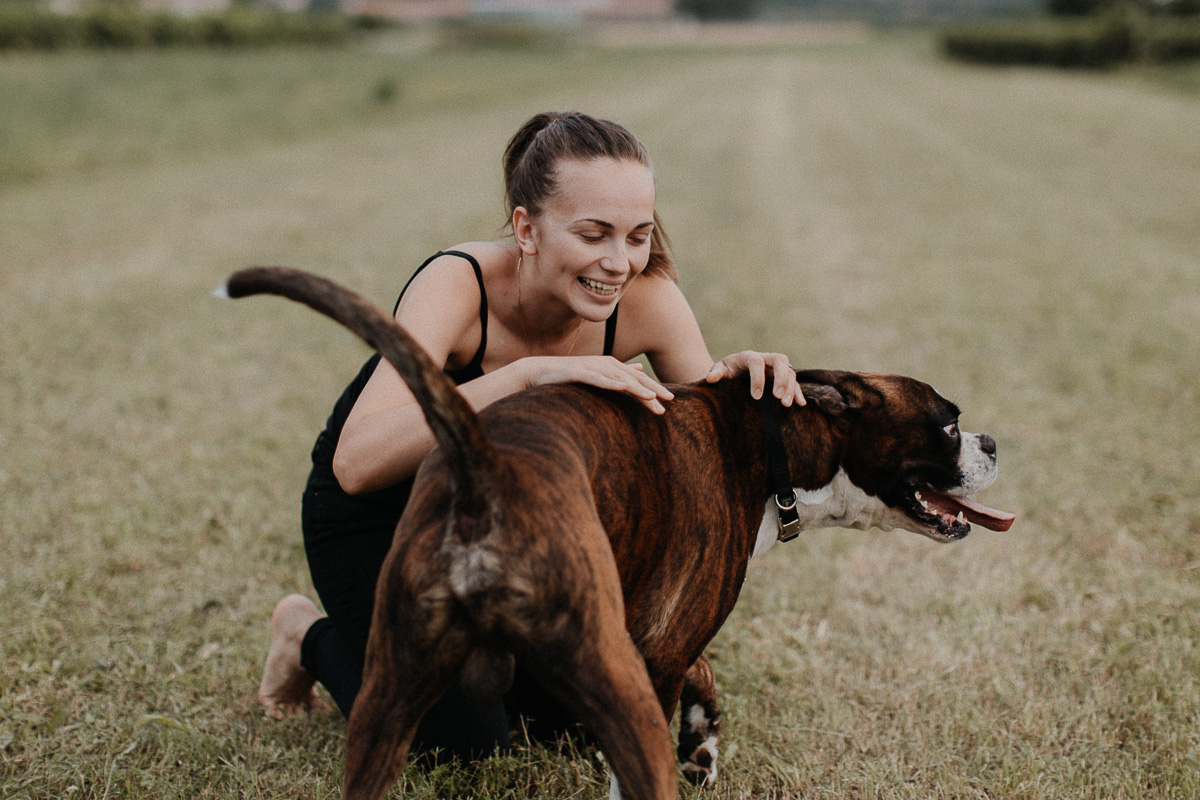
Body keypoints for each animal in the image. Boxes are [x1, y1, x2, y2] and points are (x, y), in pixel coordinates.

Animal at [223, 266, 1012, 796]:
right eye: (947, 424)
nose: (993, 442)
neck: (766, 441)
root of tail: (485, 471)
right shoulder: (655, 651)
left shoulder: (655, 641)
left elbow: (702, 676)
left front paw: (701, 740)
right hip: (604, 673)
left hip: (389, 697)